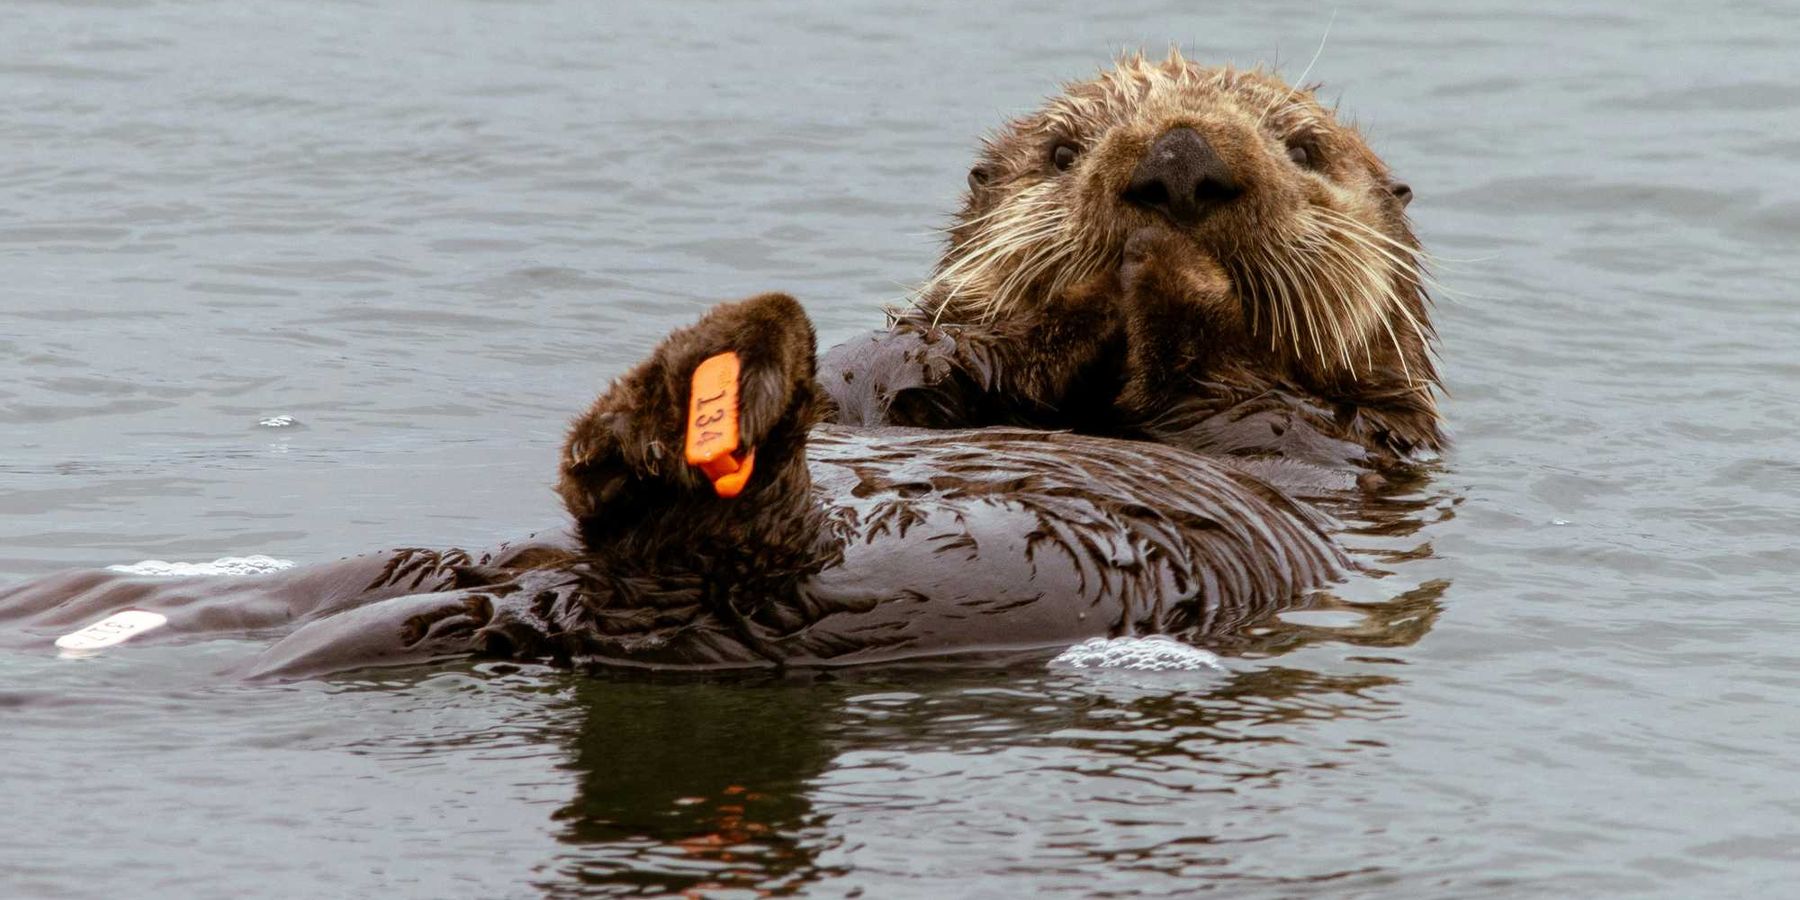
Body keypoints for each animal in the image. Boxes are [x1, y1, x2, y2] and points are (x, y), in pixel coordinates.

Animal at [0, 52, 1441, 678]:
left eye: (1304, 149)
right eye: (1062, 148)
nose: (1180, 165)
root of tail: (549, 604)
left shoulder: (1341, 438)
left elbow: (1245, 396)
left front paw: (1168, 284)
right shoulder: (909, 368)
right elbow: (897, 361)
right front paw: (1088, 295)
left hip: (770, 588)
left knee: (685, 536)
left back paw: (706, 394)